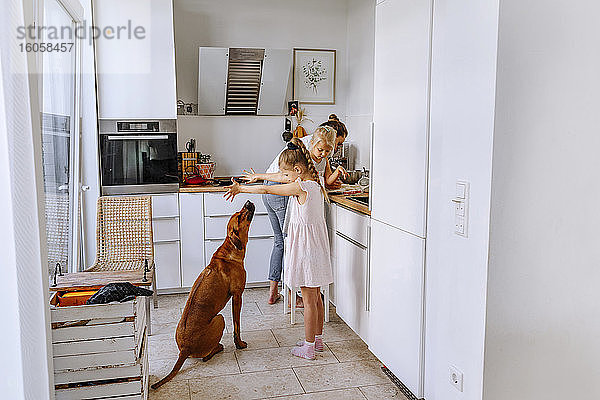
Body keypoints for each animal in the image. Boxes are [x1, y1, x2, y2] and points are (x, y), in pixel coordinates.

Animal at [151, 202, 254, 390]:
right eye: (240, 216)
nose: (248, 202)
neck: (230, 249)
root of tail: (184, 349)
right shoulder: (237, 296)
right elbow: (237, 326)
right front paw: (239, 344)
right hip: (220, 319)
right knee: (206, 356)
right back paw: (218, 348)